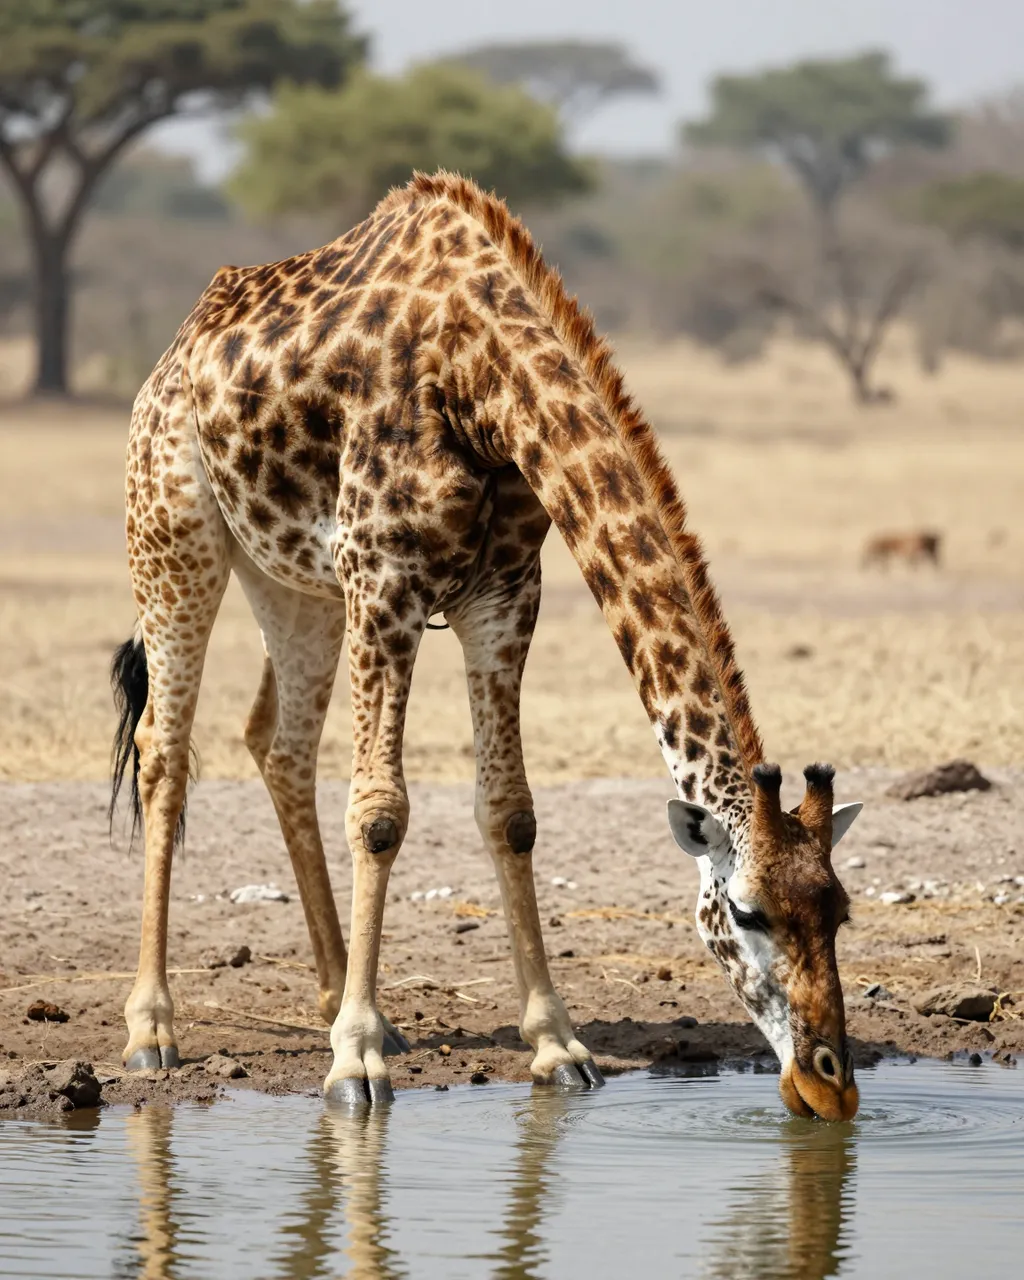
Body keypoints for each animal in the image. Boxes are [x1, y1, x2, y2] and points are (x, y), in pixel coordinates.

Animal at [110, 171, 863, 1119]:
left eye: (840, 910)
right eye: (749, 912)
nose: (831, 1084)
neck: (478, 378)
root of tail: (169, 356)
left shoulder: (504, 597)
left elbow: (510, 813)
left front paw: (555, 1045)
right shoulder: (385, 581)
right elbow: (380, 814)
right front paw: (355, 1062)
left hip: (295, 586)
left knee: (278, 746)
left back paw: (341, 998)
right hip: (175, 539)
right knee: (165, 752)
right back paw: (154, 1029)